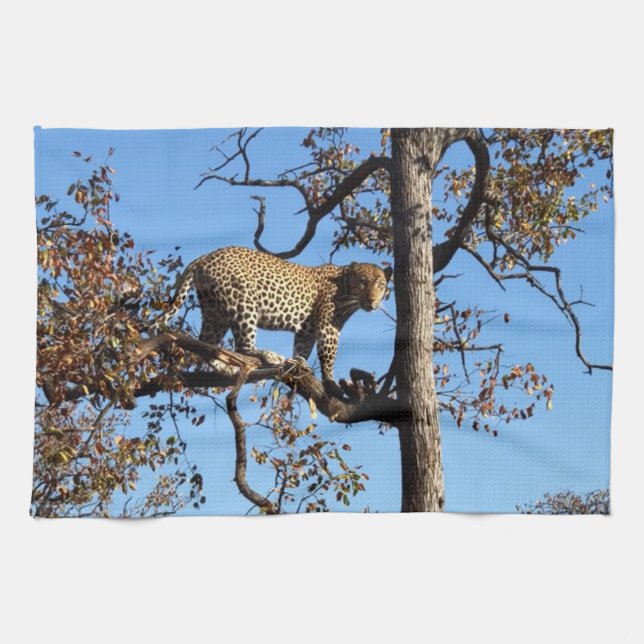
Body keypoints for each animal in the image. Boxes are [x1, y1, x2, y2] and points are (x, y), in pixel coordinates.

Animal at [148, 246, 392, 394]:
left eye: (381, 285)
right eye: (363, 282)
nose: (372, 301)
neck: (345, 288)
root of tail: (203, 257)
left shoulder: (307, 330)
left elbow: (302, 349)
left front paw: (300, 364)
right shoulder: (328, 328)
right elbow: (328, 356)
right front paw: (331, 383)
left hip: (215, 312)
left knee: (206, 343)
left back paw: (225, 368)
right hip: (243, 302)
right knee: (243, 346)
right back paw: (270, 356)